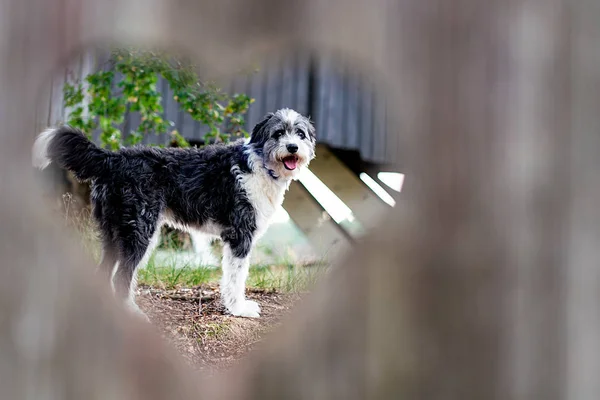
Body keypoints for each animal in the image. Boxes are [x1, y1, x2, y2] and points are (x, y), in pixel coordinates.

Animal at [32, 108, 316, 318]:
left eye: (300, 134)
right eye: (278, 133)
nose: (292, 147)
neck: (259, 165)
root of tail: (113, 159)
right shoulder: (240, 236)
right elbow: (236, 277)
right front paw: (238, 309)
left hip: (113, 233)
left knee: (104, 274)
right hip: (139, 233)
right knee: (121, 278)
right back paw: (131, 313)